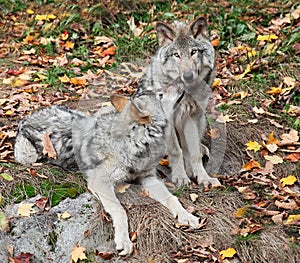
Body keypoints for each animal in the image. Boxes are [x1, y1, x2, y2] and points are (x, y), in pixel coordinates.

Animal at [13, 84, 199, 256]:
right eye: (160, 95)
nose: (181, 84)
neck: (135, 144)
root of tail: (25, 119)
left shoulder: (149, 179)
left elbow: (172, 199)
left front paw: (187, 216)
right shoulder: (100, 183)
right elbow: (120, 210)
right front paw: (124, 240)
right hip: (28, 156)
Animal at [136, 16, 220, 189]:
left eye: (193, 52)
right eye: (176, 55)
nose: (188, 76)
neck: (187, 93)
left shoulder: (193, 117)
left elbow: (193, 152)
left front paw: (204, 178)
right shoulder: (168, 119)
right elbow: (176, 151)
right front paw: (180, 177)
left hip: (201, 120)